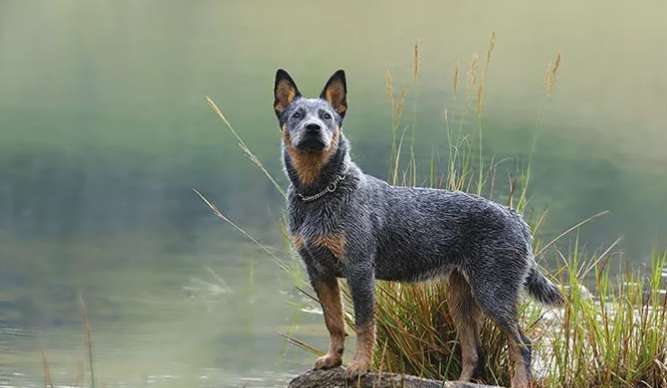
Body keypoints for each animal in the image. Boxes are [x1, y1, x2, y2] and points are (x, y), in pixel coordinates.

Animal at [274, 68, 568, 386]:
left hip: (493, 293)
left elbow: (364, 324)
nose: (313, 128)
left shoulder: (359, 269)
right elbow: (334, 321)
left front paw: (359, 366)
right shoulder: (319, 271)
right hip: (461, 299)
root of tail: (517, 218)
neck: (319, 194)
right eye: (297, 115)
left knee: (521, 344)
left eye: (326, 116)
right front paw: (333, 360)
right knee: (473, 351)